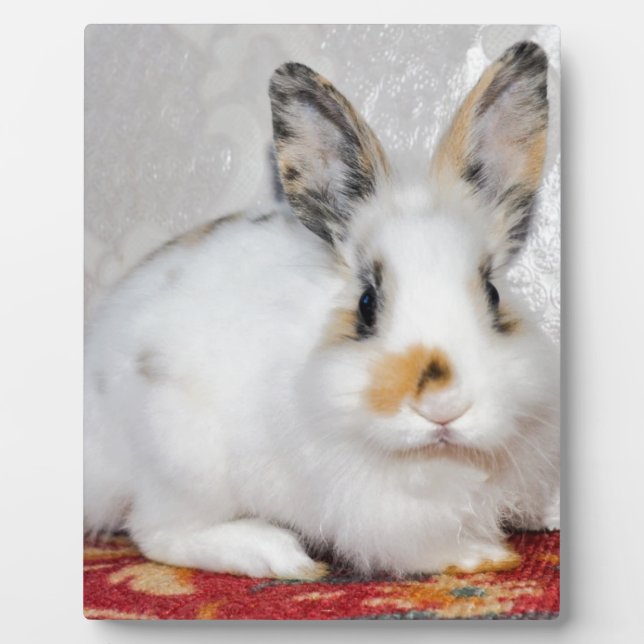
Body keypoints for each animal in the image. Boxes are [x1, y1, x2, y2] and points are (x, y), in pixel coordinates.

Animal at [84, 41, 560, 580]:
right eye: (367, 304)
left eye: (493, 294)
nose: (443, 406)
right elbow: (421, 544)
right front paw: (480, 555)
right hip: (184, 461)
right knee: (157, 534)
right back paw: (276, 555)